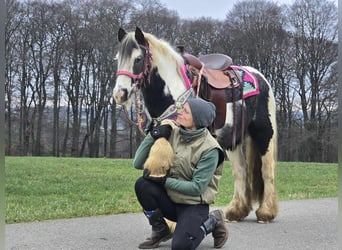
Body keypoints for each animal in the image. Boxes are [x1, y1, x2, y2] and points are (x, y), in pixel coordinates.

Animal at [113, 26, 280, 223]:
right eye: (117, 59)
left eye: (138, 59)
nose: (119, 94)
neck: (174, 92)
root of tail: (259, 77)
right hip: (233, 141)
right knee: (241, 172)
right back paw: (236, 212)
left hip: (264, 133)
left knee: (267, 170)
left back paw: (266, 212)